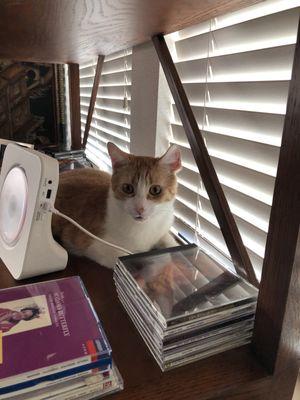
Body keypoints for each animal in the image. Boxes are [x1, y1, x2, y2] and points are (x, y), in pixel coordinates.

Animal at [52, 143, 180, 268]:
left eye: (155, 190)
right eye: (127, 188)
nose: (140, 209)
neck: (144, 227)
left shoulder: (162, 230)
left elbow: (170, 244)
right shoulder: (89, 244)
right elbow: (130, 256)